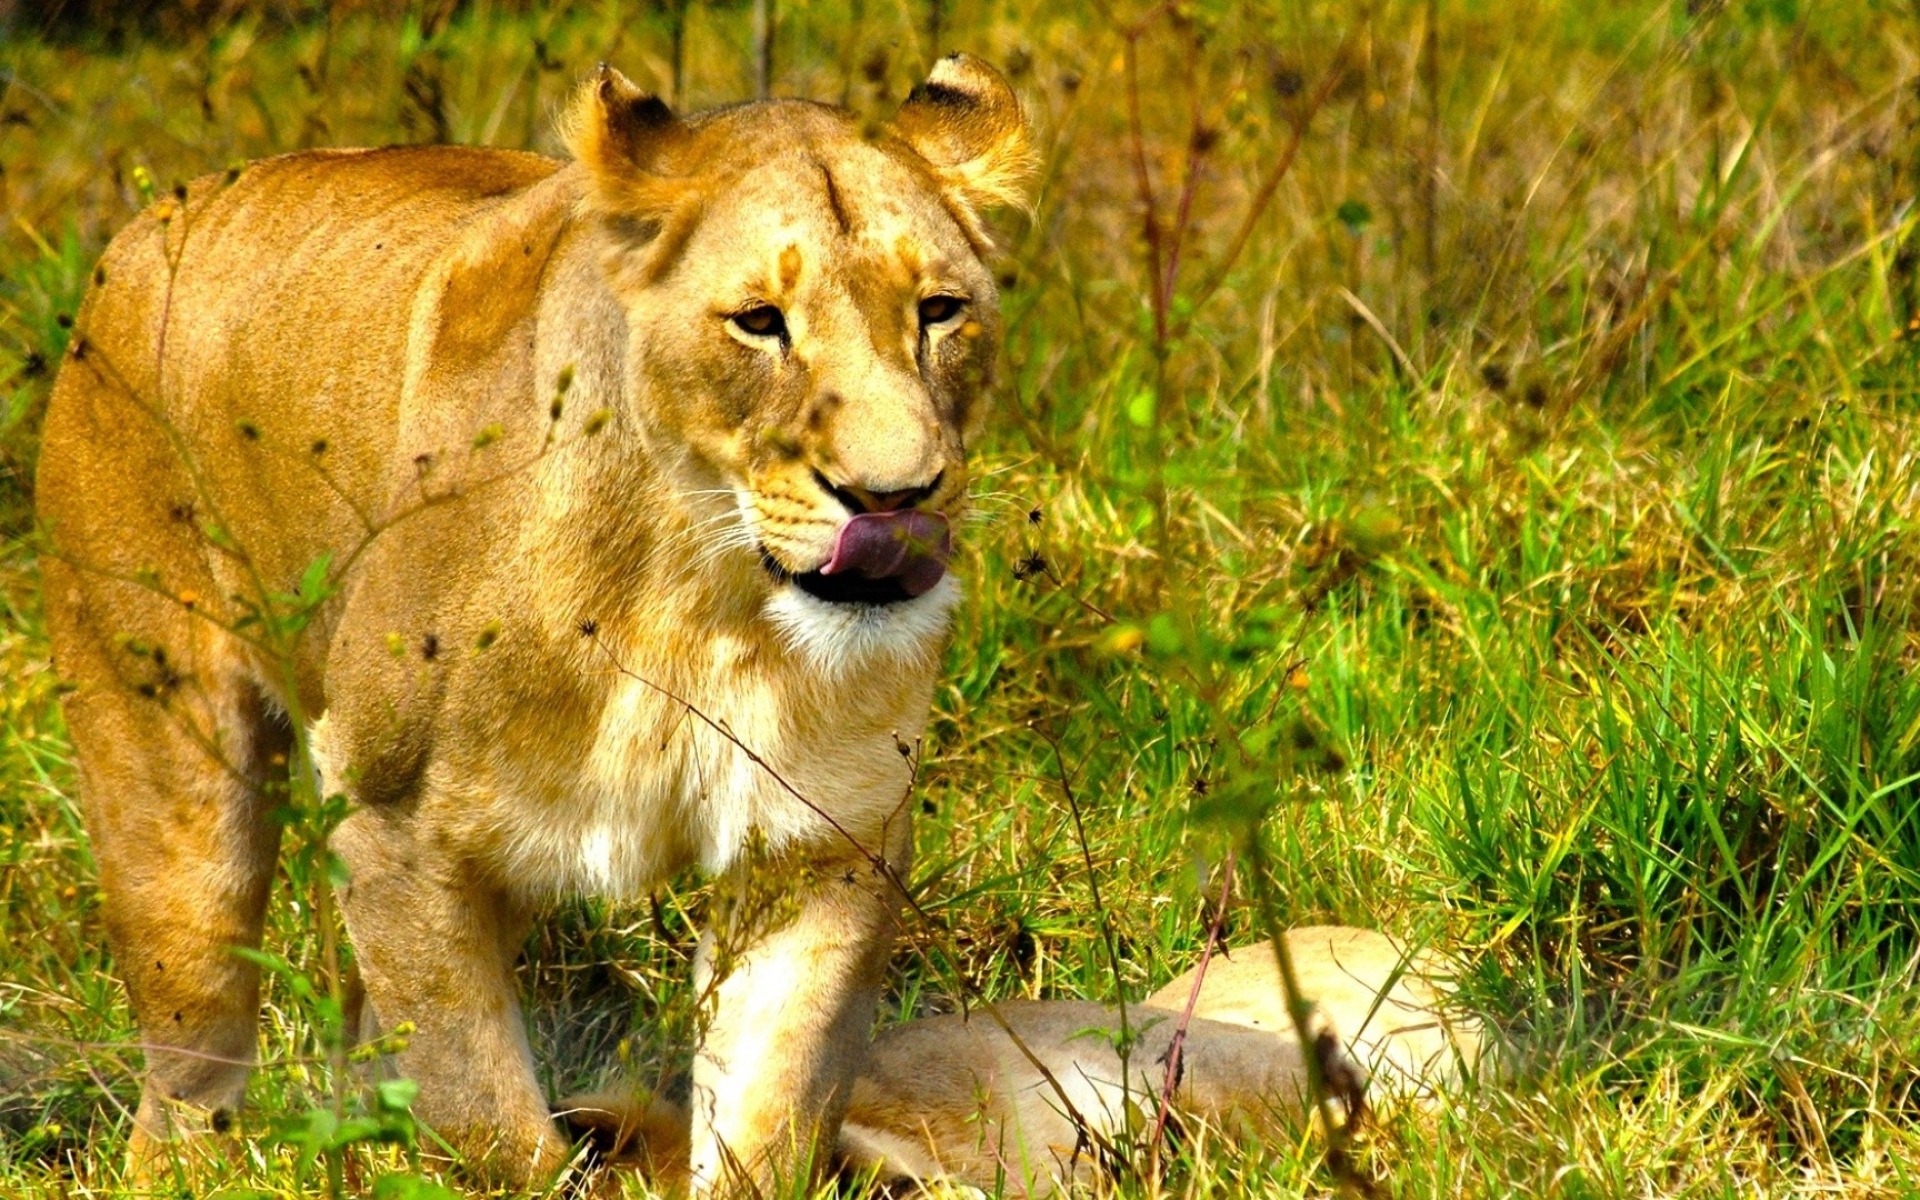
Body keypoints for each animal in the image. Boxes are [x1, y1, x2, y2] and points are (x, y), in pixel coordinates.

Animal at [35, 55, 1033, 1190]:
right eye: (759, 321)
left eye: (941, 311)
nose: (893, 497)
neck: (701, 599)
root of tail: (151, 216)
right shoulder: (390, 816)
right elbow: (484, 1115)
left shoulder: (821, 843)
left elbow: (772, 1109)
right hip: (164, 769)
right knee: (192, 1048)